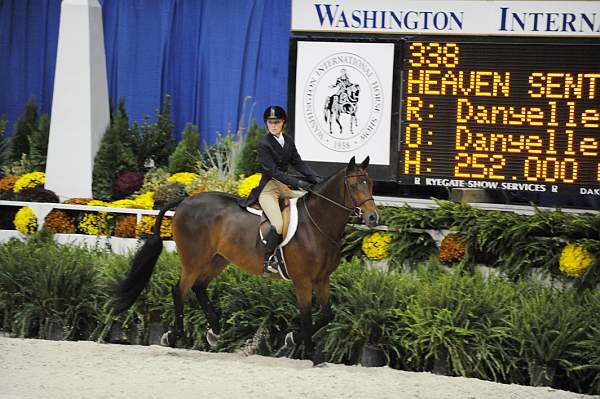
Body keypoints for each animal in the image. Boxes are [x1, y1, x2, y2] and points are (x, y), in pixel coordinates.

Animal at [112, 156, 378, 362]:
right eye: (354, 185)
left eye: (371, 184)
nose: (373, 217)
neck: (316, 224)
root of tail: (186, 200)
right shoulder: (302, 281)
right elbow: (306, 317)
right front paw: (306, 352)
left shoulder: (322, 280)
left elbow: (325, 316)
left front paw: (291, 341)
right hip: (194, 260)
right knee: (180, 290)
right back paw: (173, 336)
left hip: (219, 259)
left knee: (199, 287)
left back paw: (214, 333)